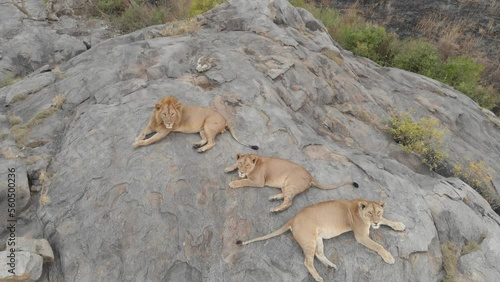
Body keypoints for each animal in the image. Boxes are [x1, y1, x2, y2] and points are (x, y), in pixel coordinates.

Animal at [225, 153, 358, 210]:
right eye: (240, 163)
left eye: (247, 165)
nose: (242, 172)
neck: (256, 162)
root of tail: (310, 176)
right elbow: (234, 166)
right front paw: (228, 168)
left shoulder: (259, 181)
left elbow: (244, 181)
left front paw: (233, 183)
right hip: (286, 185)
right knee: (285, 196)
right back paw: (274, 198)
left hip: (292, 184)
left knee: (289, 202)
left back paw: (276, 209)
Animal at [237, 198, 406, 282]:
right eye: (370, 213)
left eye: (378, 212)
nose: (375, 223)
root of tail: (292, 219)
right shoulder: (361, 236)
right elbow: (378, 246)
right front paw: (389, 257)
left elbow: (387, 220)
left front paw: (399, 225)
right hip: (309, 240)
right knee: (307, 262)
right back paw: (319, 277)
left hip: (318, 239)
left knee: (318, 254)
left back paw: (330, 265)